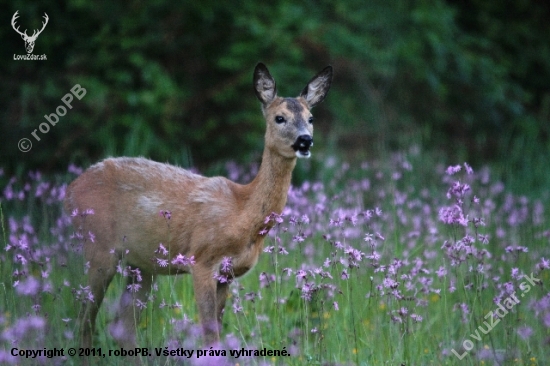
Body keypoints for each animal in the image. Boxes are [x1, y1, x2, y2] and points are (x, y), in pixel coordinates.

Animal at [64, 62, 332, 348]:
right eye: (279, 118)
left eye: (311, 118)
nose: (305, 140)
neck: (242, 210)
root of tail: (70, 190)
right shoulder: (202, 259)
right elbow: (210, 334)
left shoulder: (227, 274)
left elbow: (218, 330)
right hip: (98, 245)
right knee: (84, 320)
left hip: (141, 264)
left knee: (121, 326)